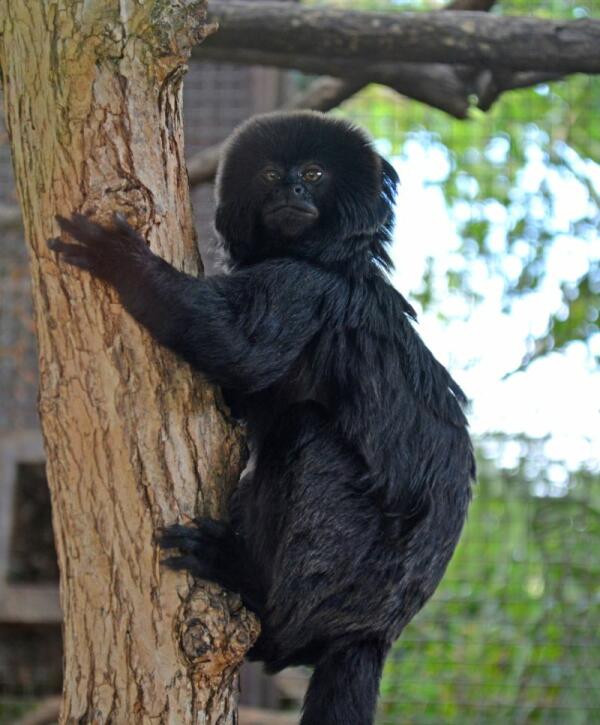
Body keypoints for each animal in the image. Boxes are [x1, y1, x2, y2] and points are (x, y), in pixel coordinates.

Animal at [48, 111, 474, 724]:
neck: (326, 259)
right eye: (272, 174)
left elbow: (234, 346)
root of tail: (375, 631)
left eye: (315, 174)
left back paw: (247, 584)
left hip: (352, 573)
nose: (292, 190)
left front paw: (124, 262)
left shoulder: (306, 289)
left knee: (305, 434)